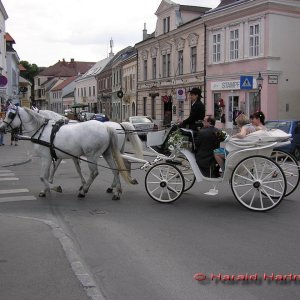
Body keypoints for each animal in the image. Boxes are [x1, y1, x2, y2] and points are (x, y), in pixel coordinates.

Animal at [0, 106, 137, 200]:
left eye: (11, 115)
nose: (1, 128)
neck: (43, 130)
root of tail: (108, 127)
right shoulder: (61, 156)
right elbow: (56, 172)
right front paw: (45, 189)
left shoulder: (46, 158)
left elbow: (43, 176)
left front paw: (55, 187)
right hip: (107, 153)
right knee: (115, 169)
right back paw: (116, 191)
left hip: (92, 156)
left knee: (95, 173)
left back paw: (84, 191)